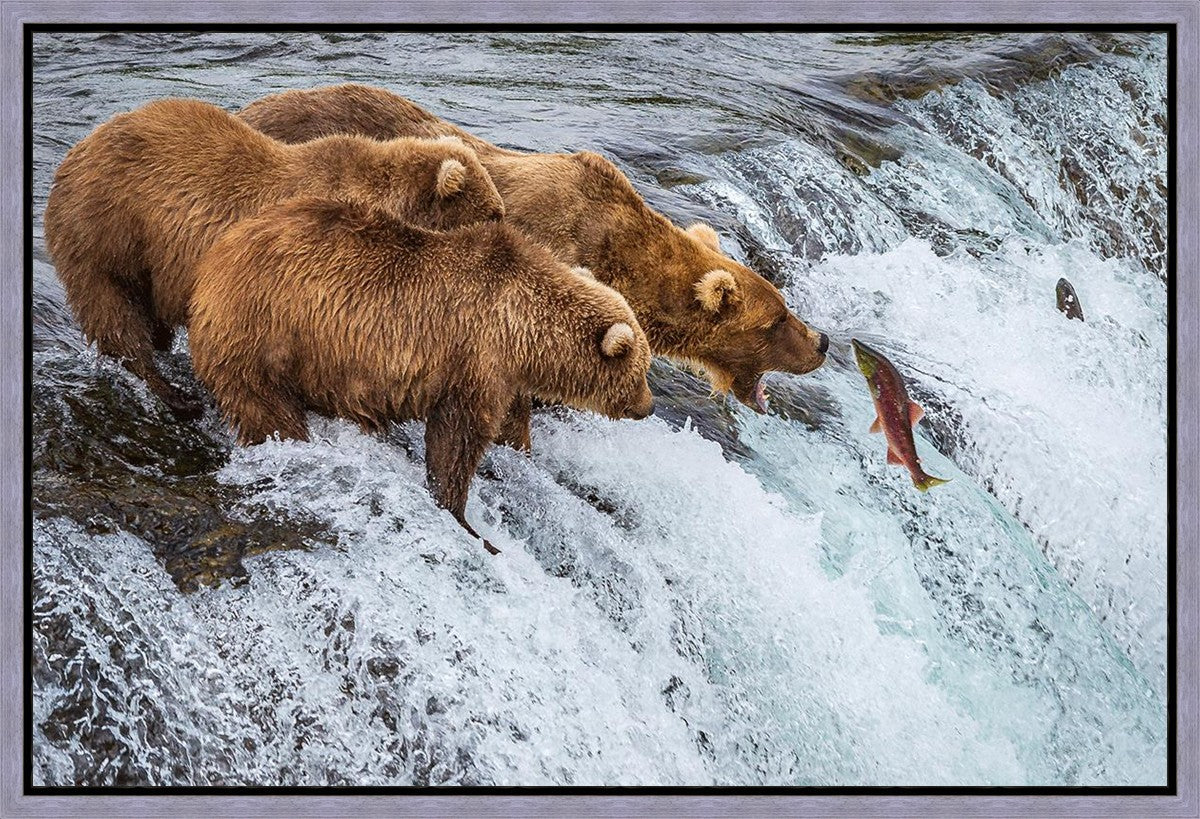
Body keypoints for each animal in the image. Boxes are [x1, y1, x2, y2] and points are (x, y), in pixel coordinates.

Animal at [44, 97, 505, 420]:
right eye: (494, 213)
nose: (507, 228)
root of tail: (76, 151)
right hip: (107, 232)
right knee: (114, 314)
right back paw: (174, 395)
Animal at [188, 195, 654, 554]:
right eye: (641, 371)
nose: (648, 407)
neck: (522, 329)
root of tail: (213, 260)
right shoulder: (474, 358)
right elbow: (457, 440)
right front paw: (467, 521)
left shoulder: (504, 376)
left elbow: (509, 425)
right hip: (264, 332)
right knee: (266, 407)